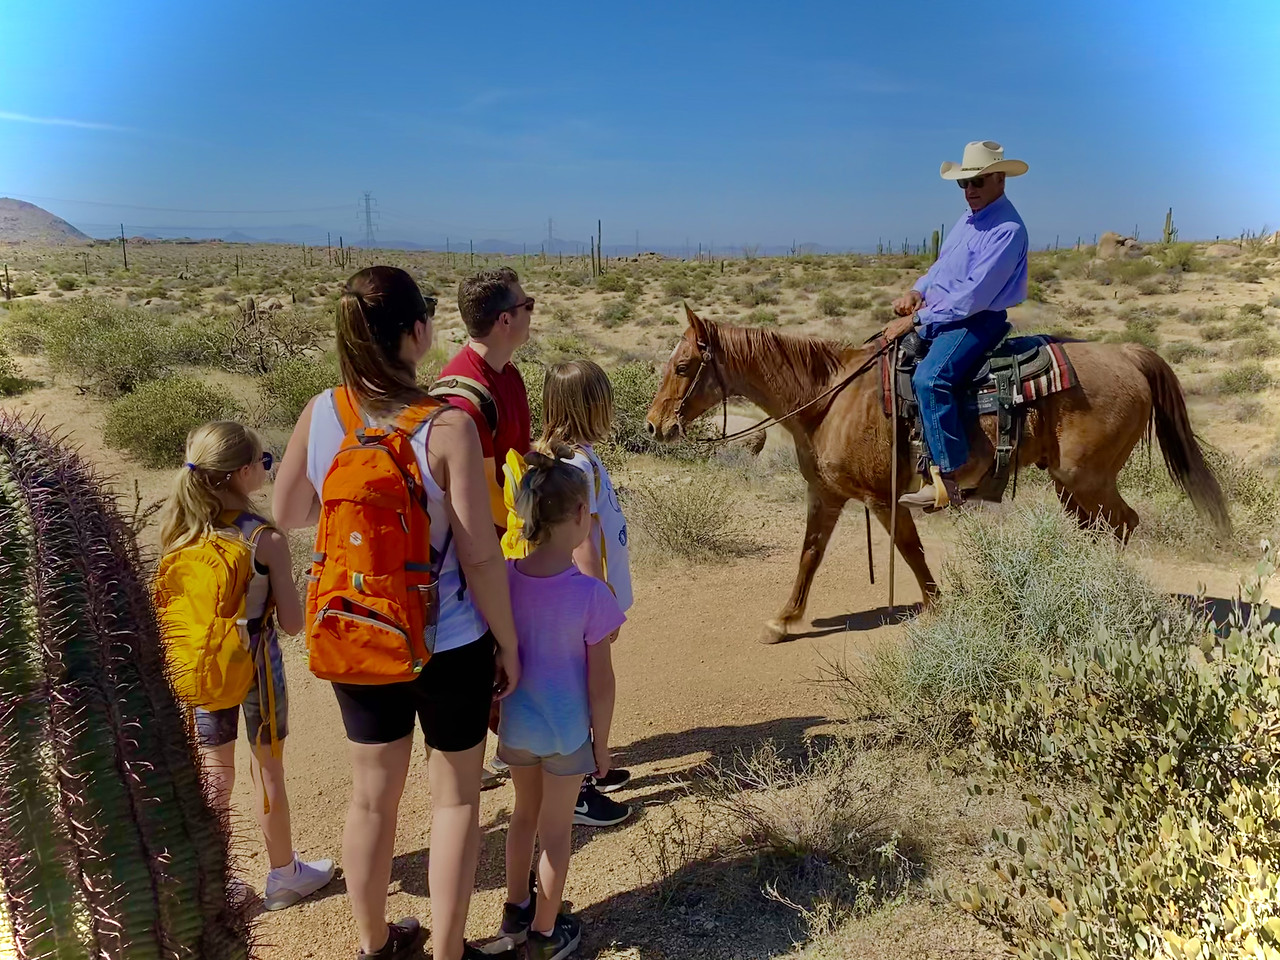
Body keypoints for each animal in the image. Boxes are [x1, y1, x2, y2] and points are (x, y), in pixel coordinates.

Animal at [650, 308, 1228, 642]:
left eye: (681, 367)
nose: (654, 424)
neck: (829, 399)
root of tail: (1129, 353)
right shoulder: (827, 495)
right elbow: (809, 555)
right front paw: (784, 618)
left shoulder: (883, 498)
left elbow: (910, 548)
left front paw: (935, 605)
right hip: (1071, 485)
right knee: (1098, 529)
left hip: (1089, 478)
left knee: (1123, 524)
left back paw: (1099, 590)